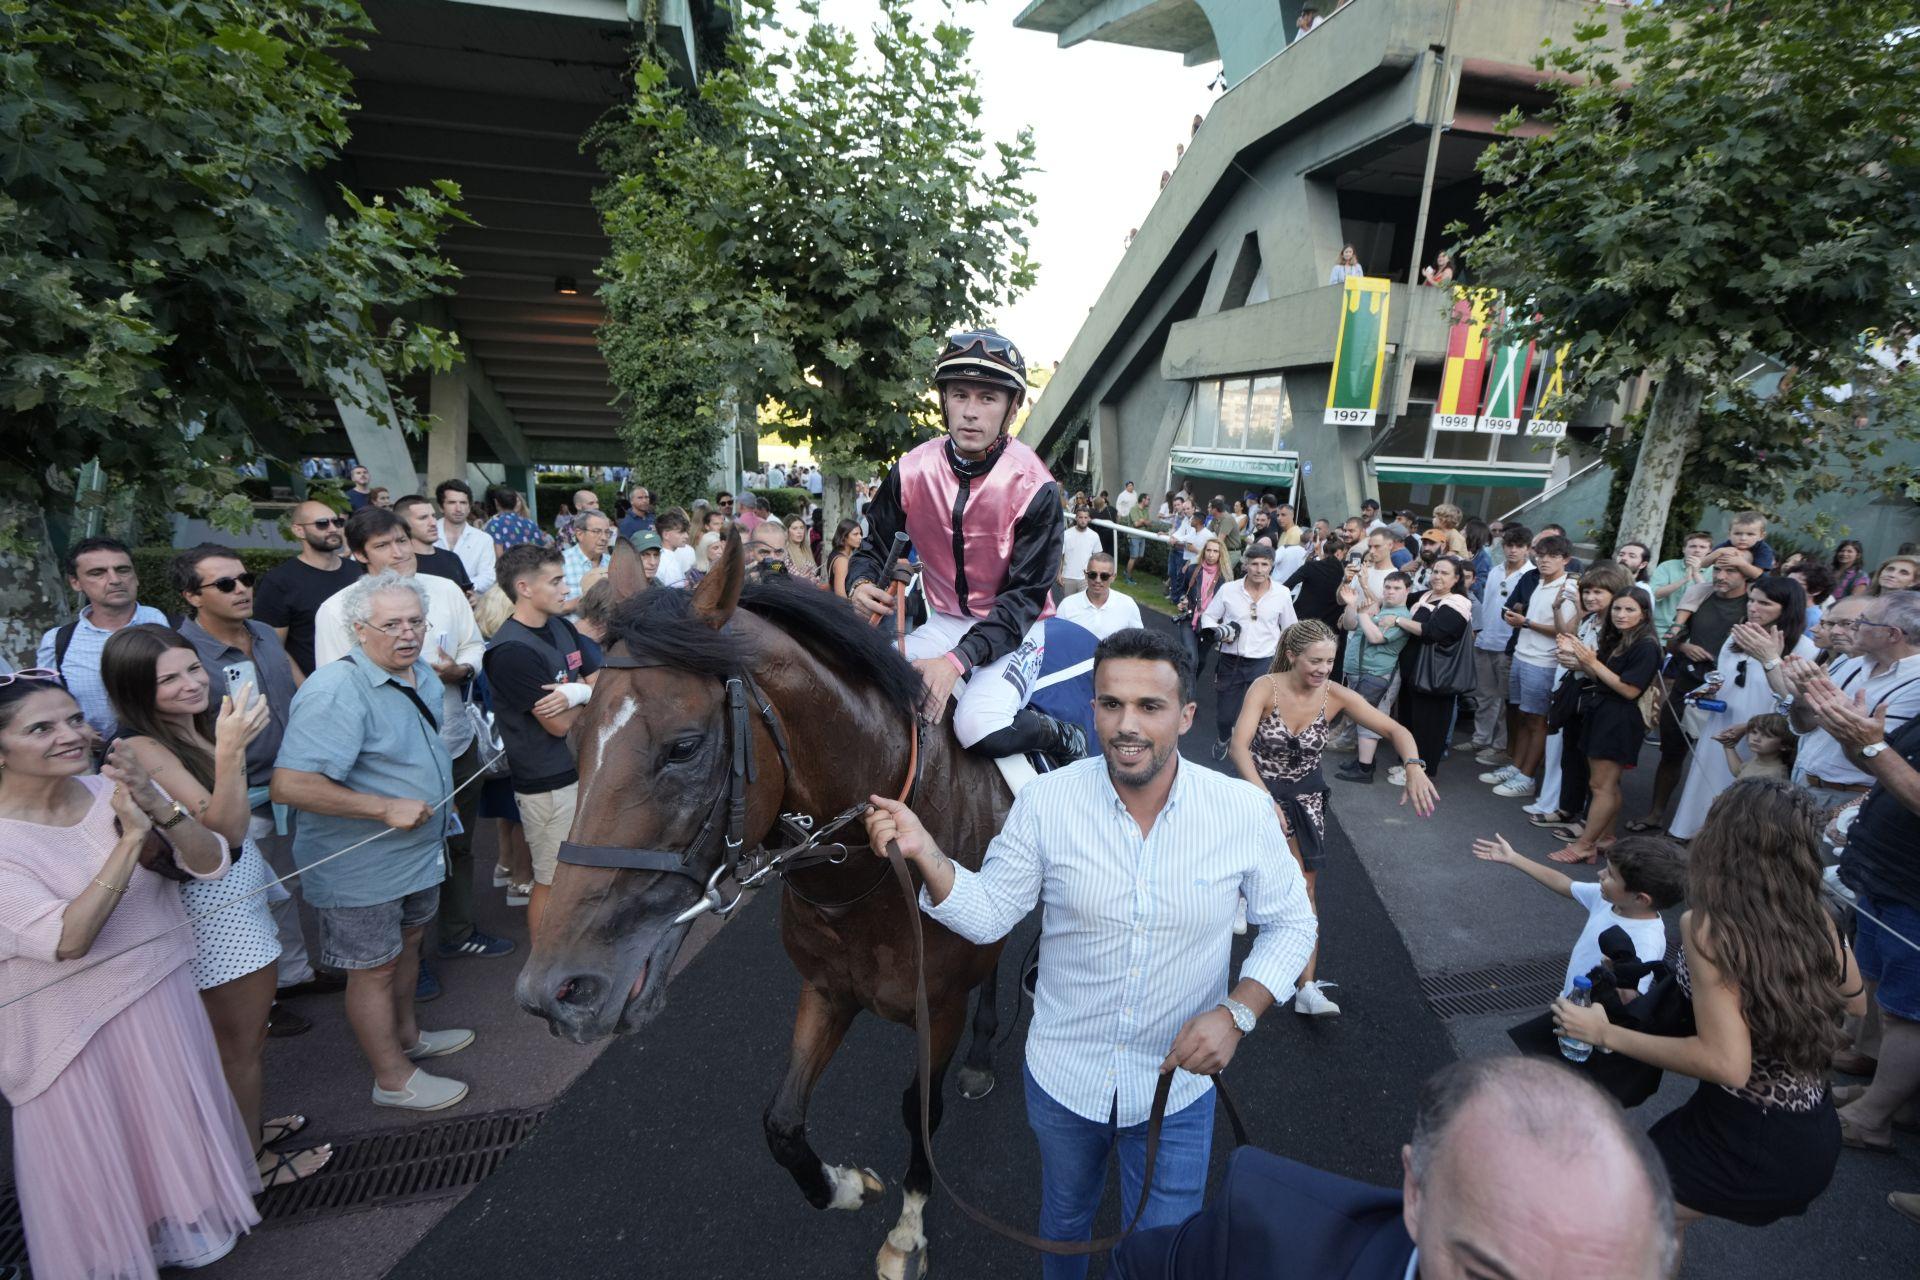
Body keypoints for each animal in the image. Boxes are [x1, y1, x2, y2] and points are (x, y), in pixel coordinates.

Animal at [518, 541, 1013, 1280]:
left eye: (684, 746)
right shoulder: (827, 989)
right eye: (575, 739)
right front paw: (845, 1185)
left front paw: (908, 1232)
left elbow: (920, 1114)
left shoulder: (941, 1008)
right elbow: (780, 1122)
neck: (875, 869)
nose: (555, 991)